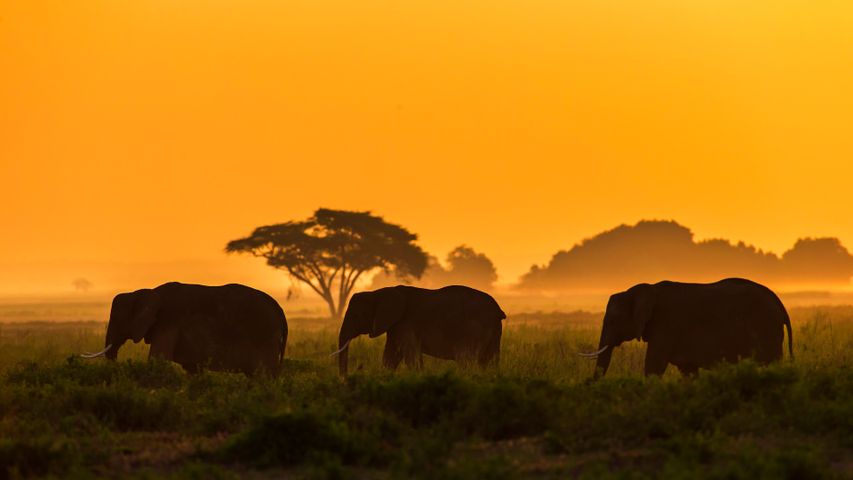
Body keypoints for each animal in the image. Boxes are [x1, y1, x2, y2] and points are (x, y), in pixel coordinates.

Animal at [83, 282, 290, 376]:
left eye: (118, 318)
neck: (145, 291)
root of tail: (280, 310)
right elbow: (192, 368)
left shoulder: (168, 323)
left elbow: (158, 359)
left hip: (264, 335)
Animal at [332, 284, 506, 376]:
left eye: (356, 315)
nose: (345, 379)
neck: (378, 292)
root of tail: (498, 310)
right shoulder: (395, 325)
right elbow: (390, 356)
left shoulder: (406, 323)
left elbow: (411, 357)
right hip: (494, 330)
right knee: (490, 360)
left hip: (473, 329)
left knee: (466, 359)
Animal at [584, 280, 796, 376]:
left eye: (613, 320)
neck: (644, 289)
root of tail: (779, 303)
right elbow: (688, 371)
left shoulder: (666, 324)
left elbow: (653, 366)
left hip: (766, 328)